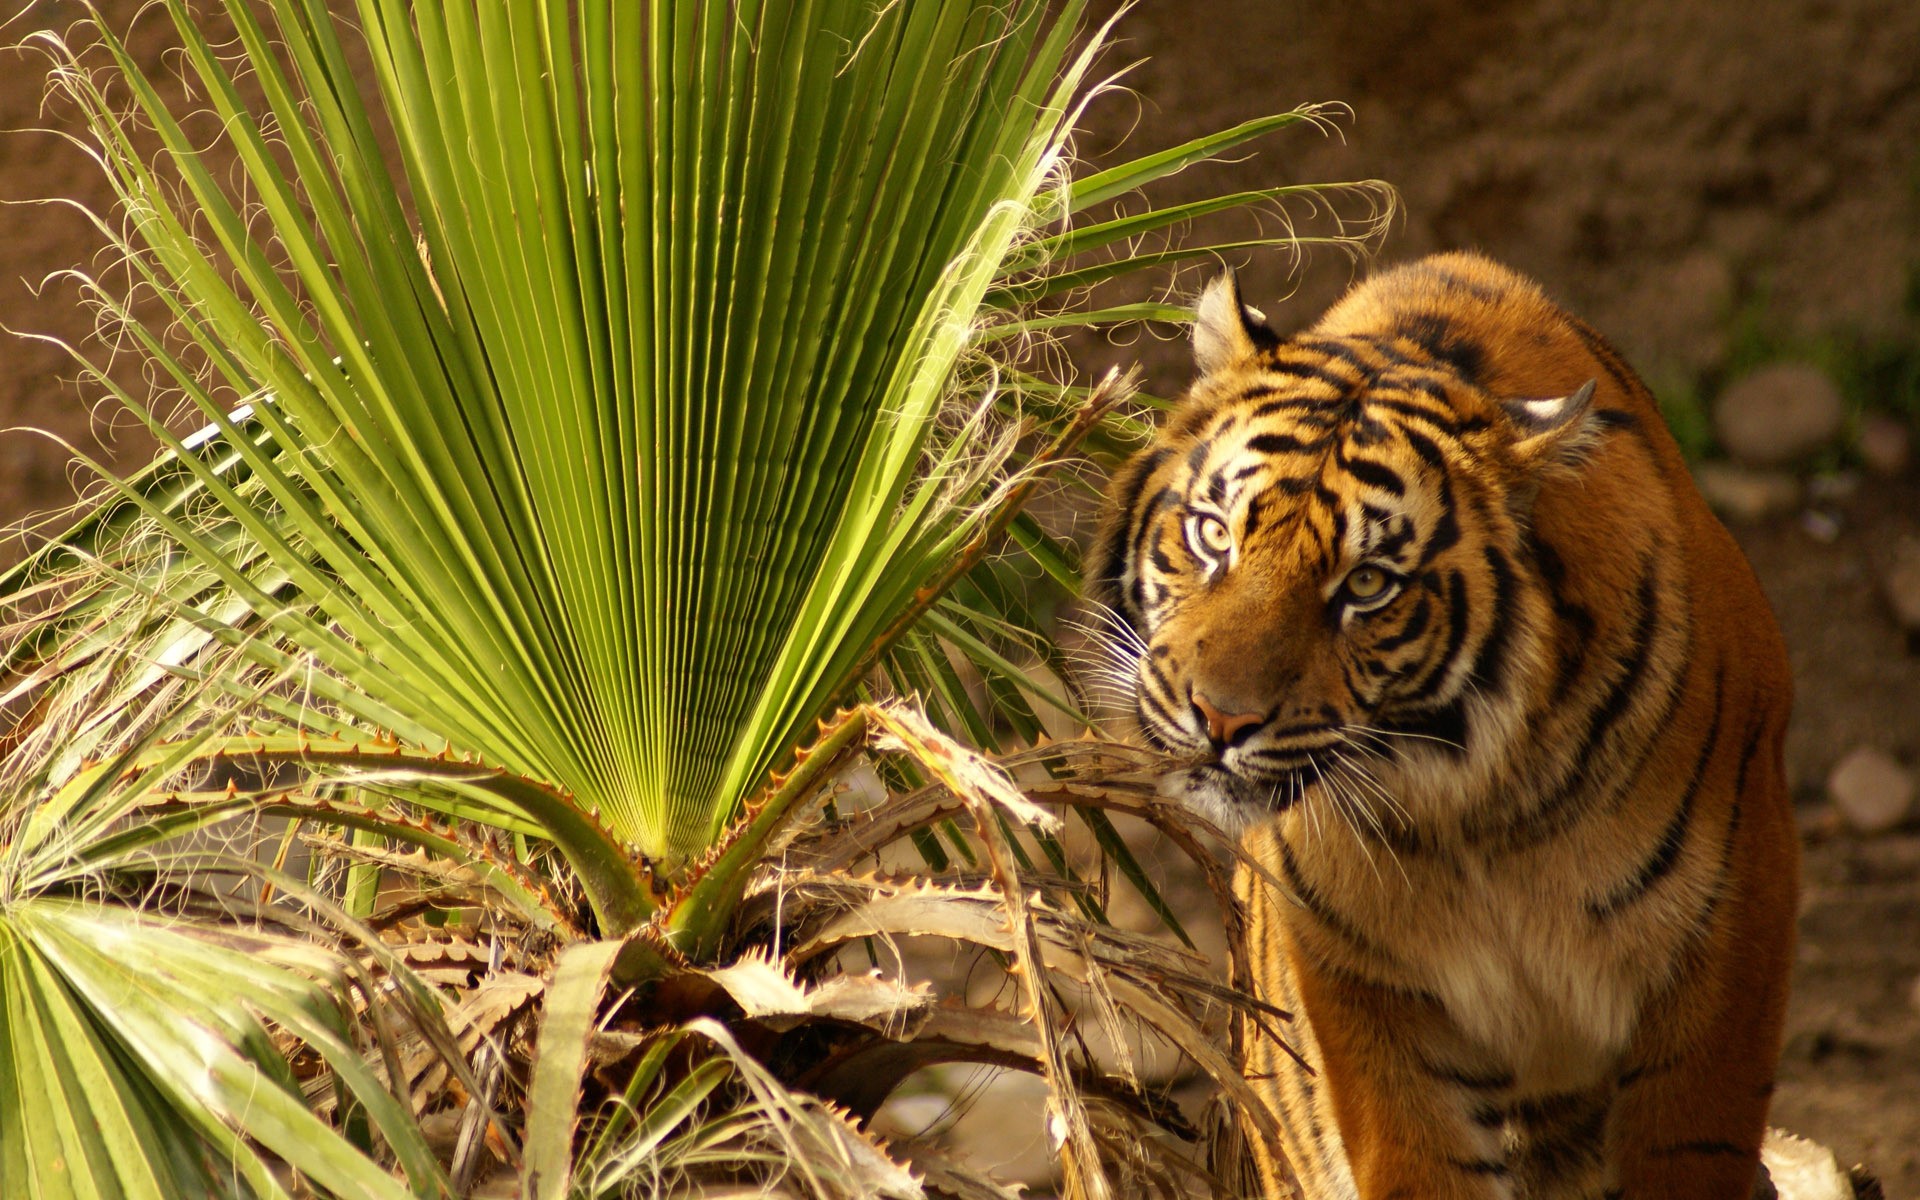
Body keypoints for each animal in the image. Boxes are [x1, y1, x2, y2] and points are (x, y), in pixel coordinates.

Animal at [1084, 252, 1798, 1199]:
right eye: (1211, 536)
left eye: (1367, 585)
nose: (1220, 718)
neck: (1472, 812)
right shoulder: (1365, 989)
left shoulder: (1726, 943)